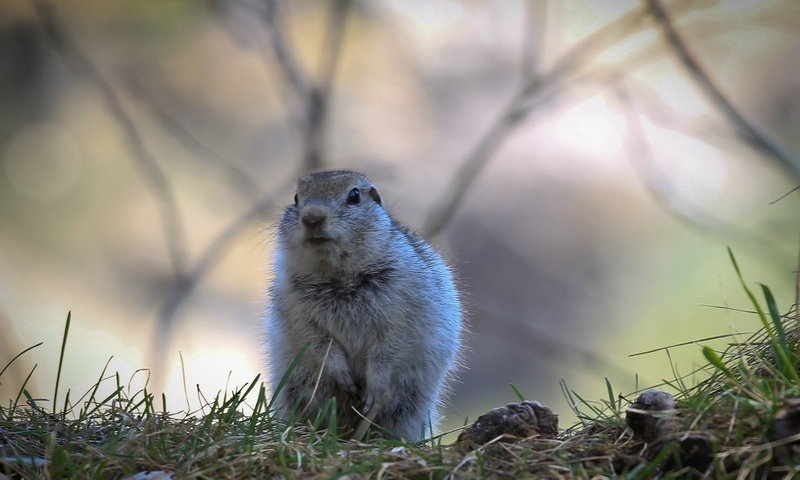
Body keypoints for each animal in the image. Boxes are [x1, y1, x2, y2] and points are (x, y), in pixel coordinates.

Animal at [264, 171, 462, 440]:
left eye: (354, 195)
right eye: (296, 198)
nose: (312, 218)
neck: (339, 278)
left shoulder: (400, 315)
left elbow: (387, 351)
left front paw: (374, 389)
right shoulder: (297, 312)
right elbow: (319, 343)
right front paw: (343, 377)